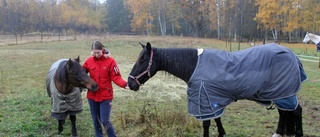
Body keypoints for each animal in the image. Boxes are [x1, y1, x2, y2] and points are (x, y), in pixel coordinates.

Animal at [126, 42, 306, 136]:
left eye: (142, 60)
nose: (130, 83)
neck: (194, 66)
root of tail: (291, 54)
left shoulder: (204, 99)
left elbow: (206, 123)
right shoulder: (212, 98)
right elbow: (217, 119)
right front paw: (221, 132)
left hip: (284, 93)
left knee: (296, 111)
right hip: (280, 94)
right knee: (285, 113)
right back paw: (279, 133)